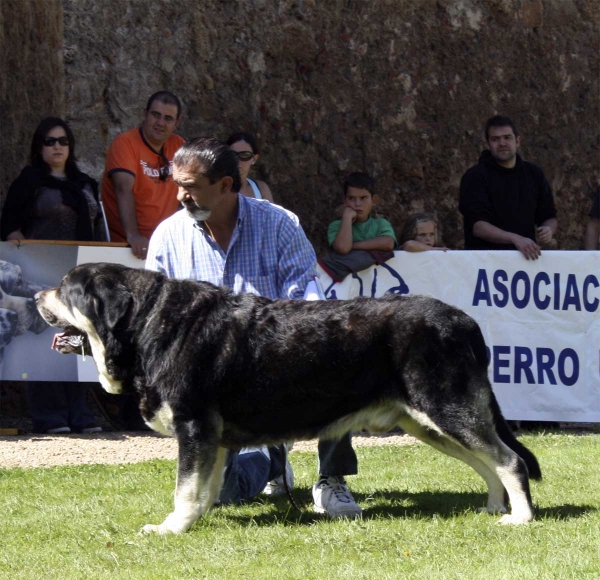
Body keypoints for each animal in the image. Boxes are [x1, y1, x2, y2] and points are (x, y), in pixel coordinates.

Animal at [37, 262, 544, 536]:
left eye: (66, 289)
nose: (39, 294)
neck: (148, 325)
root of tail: (464, 320)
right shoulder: (212, 439)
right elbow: (202, 490)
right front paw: (195, 520)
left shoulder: (194, 428)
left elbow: (184, 489)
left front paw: (171, 528)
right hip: (428, 422)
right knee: (488, 463)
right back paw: (494, 507)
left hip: (447, 408)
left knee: (508, 460)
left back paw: (519, 518)